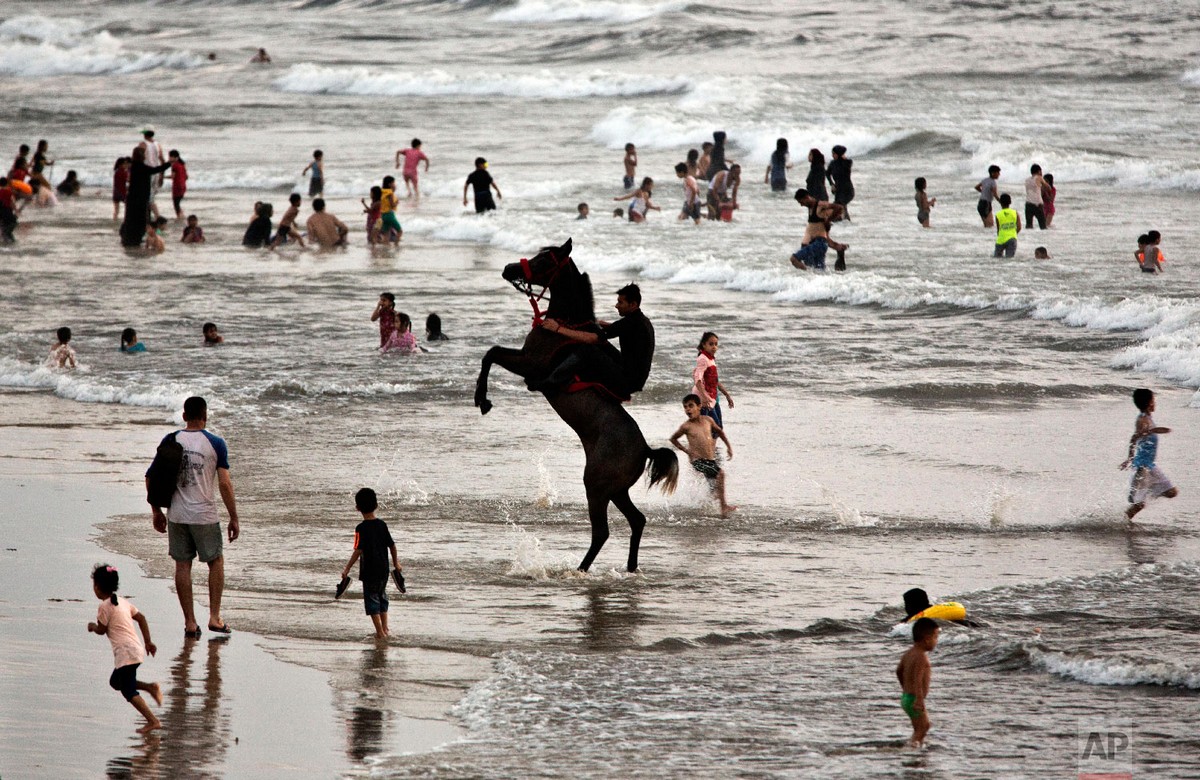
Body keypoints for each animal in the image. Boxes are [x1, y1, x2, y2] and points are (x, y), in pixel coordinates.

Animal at [475, 236, 681, 571]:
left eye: (545, 260)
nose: (509, 268)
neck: (566, 322)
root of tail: (646, 449)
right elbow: (491, 352)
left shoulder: (530, 363)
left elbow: (491, 354)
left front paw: (482, 399)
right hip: (617, 491)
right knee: (637, 521)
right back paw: (629, 568)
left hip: (596, 487)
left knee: (602, 531)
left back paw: (581, 570)